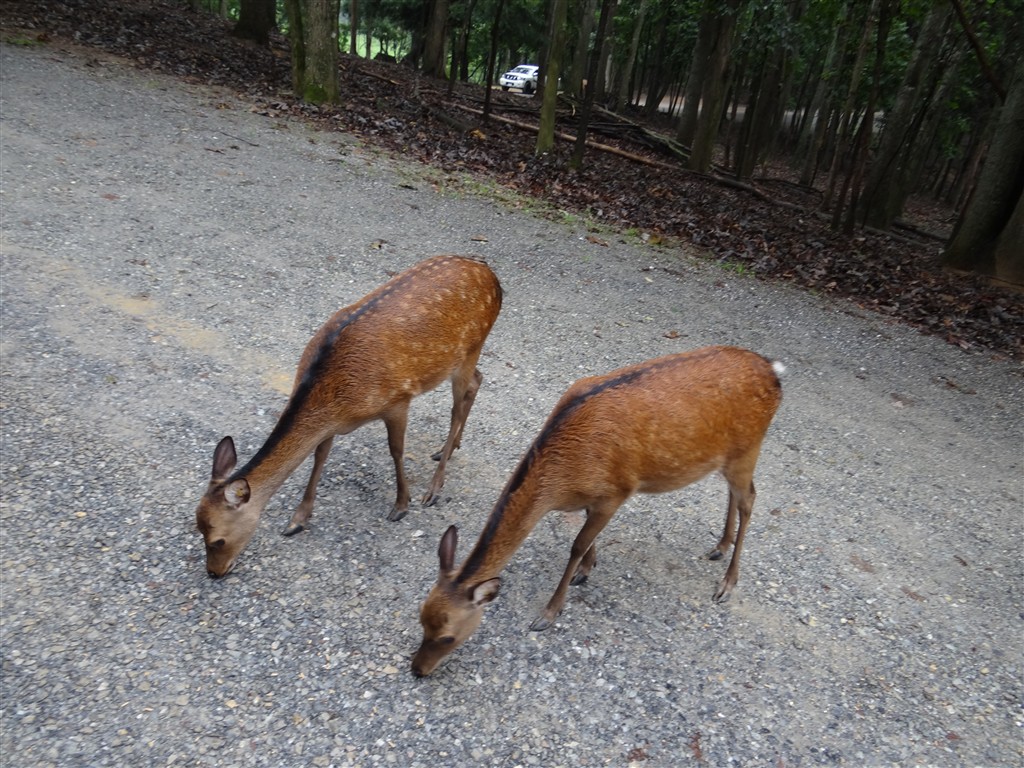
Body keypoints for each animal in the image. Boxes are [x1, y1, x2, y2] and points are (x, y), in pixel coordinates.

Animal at [195, 255, 503, 578]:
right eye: (199, 530)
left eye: (217, 540)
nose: (214, 573)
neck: (338, 401)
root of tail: (491, 275)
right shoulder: (332, 423)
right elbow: (320, 455)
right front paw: (297, 519)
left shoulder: (397, 400)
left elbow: (396, 450)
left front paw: (401, 505)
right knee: (477, 381)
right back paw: (449, 448)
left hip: (471, 347)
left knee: (459, 405)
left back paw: (434, 487)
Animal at [411, 345, 783, 676]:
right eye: (421, 617)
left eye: (447, 637)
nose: (417, 670)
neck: (563, 480)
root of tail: (774, 370)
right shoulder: (595, 498)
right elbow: (588, 539)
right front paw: (588, 569)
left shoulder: (617, 492)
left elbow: (576, 544)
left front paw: (549, 613)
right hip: (729, 457)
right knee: (734, 495)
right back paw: (719, 546)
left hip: (749, 448)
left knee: (750, 499)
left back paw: (727, 583)